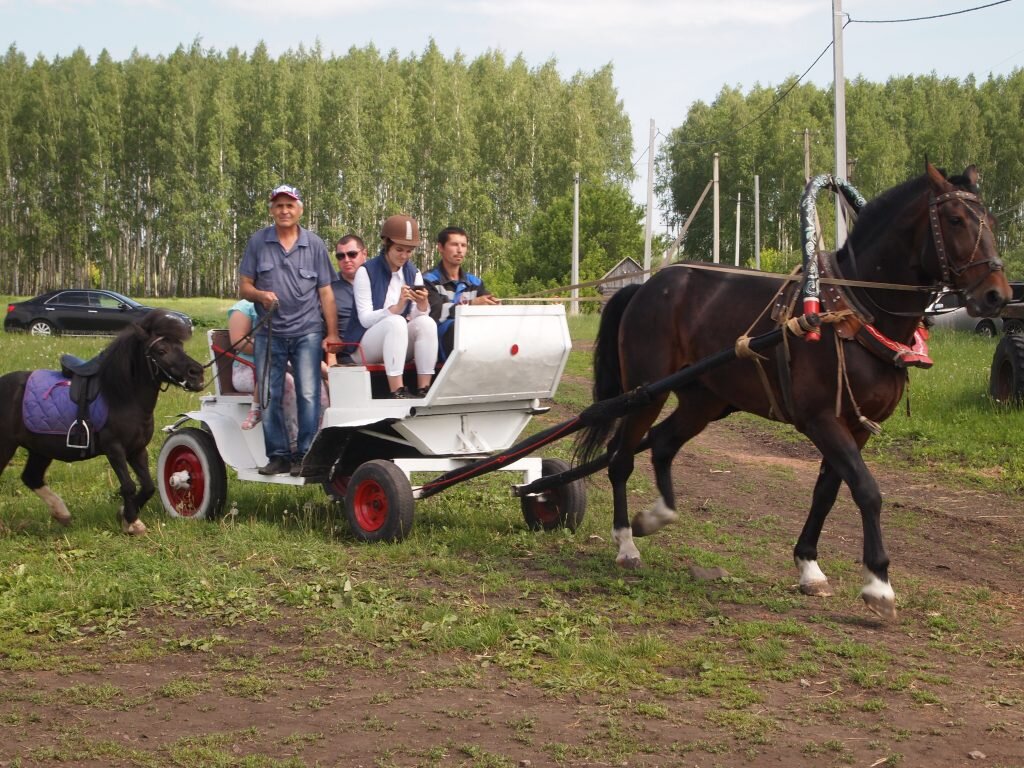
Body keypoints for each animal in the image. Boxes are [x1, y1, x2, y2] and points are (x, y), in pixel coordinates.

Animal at [0, 307, 205, 536]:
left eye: (180, 346)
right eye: (161, 350)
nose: (197, 373)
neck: (121, 395)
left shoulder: (137, 449)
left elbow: (148, 486)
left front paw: (125, 515)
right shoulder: (114, 448)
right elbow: (129, 486)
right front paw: (131, 521)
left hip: (41, 448)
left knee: (31, 477)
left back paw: (62, 513)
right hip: (7, 446)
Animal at [581, 162, 1011, 618]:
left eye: (993, 220)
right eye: (955, 220)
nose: (997, 295)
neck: (851, 310)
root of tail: (646, 286)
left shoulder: (855, 426)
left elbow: (827, 492)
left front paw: (809, 567)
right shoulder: (821, 419)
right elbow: (867, 491)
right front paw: (878, 583)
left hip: (705, 400)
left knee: (662, 443)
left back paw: (657, 516)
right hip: (645, 391)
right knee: (620, 459)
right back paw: (626, 544)